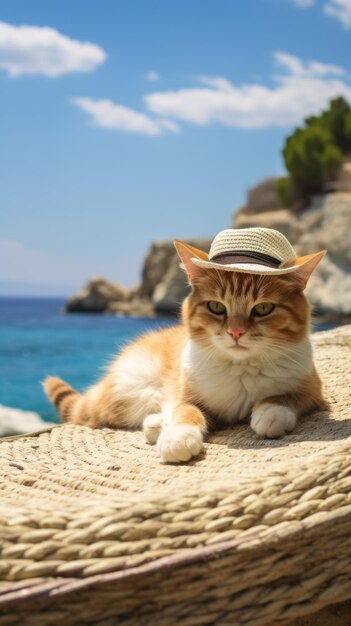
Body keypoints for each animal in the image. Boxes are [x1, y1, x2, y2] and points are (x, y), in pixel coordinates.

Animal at [44, 236, 328, 460]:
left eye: (263, 308)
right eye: (216, 307)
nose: (236, 332)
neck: (241, 368)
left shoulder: (312, 388)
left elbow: (285, 397)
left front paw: (270, 412)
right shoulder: (186, 394)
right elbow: (186, 411)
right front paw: (178, 437)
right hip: (132, 389)